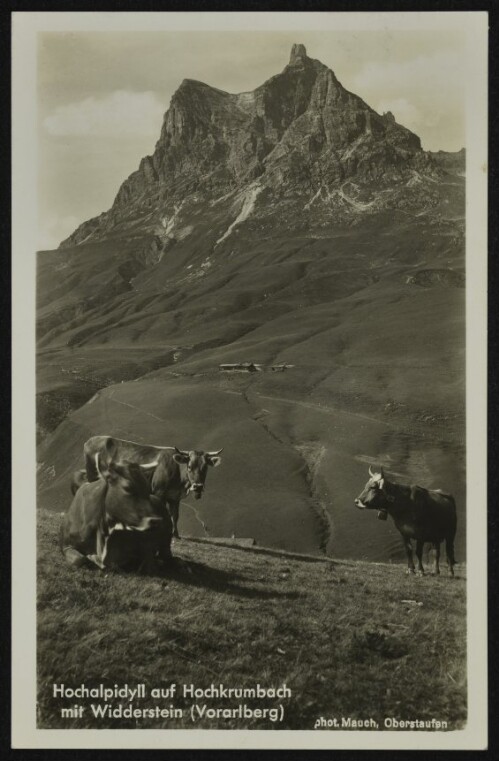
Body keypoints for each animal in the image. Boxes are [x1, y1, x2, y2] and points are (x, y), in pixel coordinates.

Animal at [83, 436, 224, 536]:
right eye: (189, 467)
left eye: (205, 468)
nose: (198, 487)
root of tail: (91, 440)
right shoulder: (158, 492)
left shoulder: (175, 497)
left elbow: (175, 516)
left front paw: (176, 534)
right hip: (93, 477)